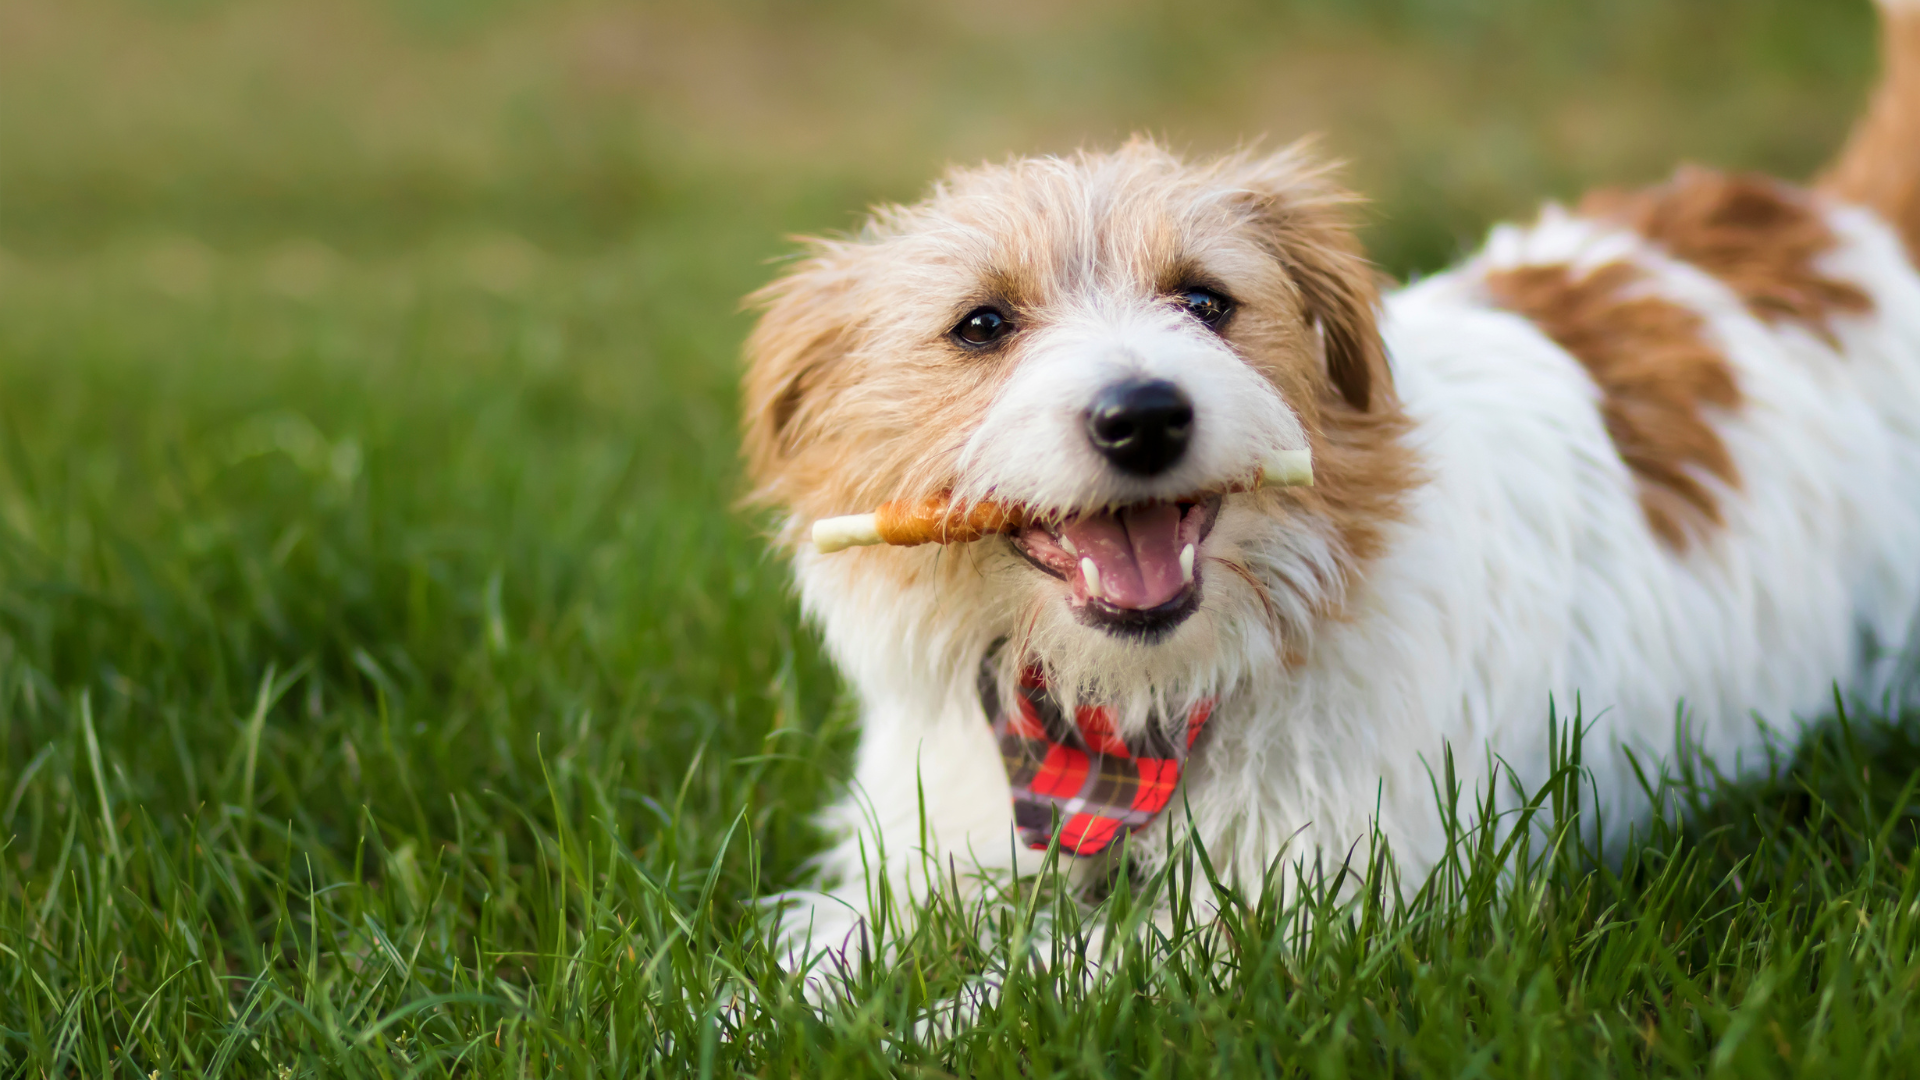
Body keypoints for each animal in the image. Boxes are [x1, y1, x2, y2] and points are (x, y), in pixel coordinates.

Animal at [733, 0, 1920, 949]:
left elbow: (1023, 994)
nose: (1144, 415)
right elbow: (811, 968)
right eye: (981, 325)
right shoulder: (916, 858)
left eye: (1206, 300)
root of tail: (1844, 226)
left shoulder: (1300, 913)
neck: (1122, 721)